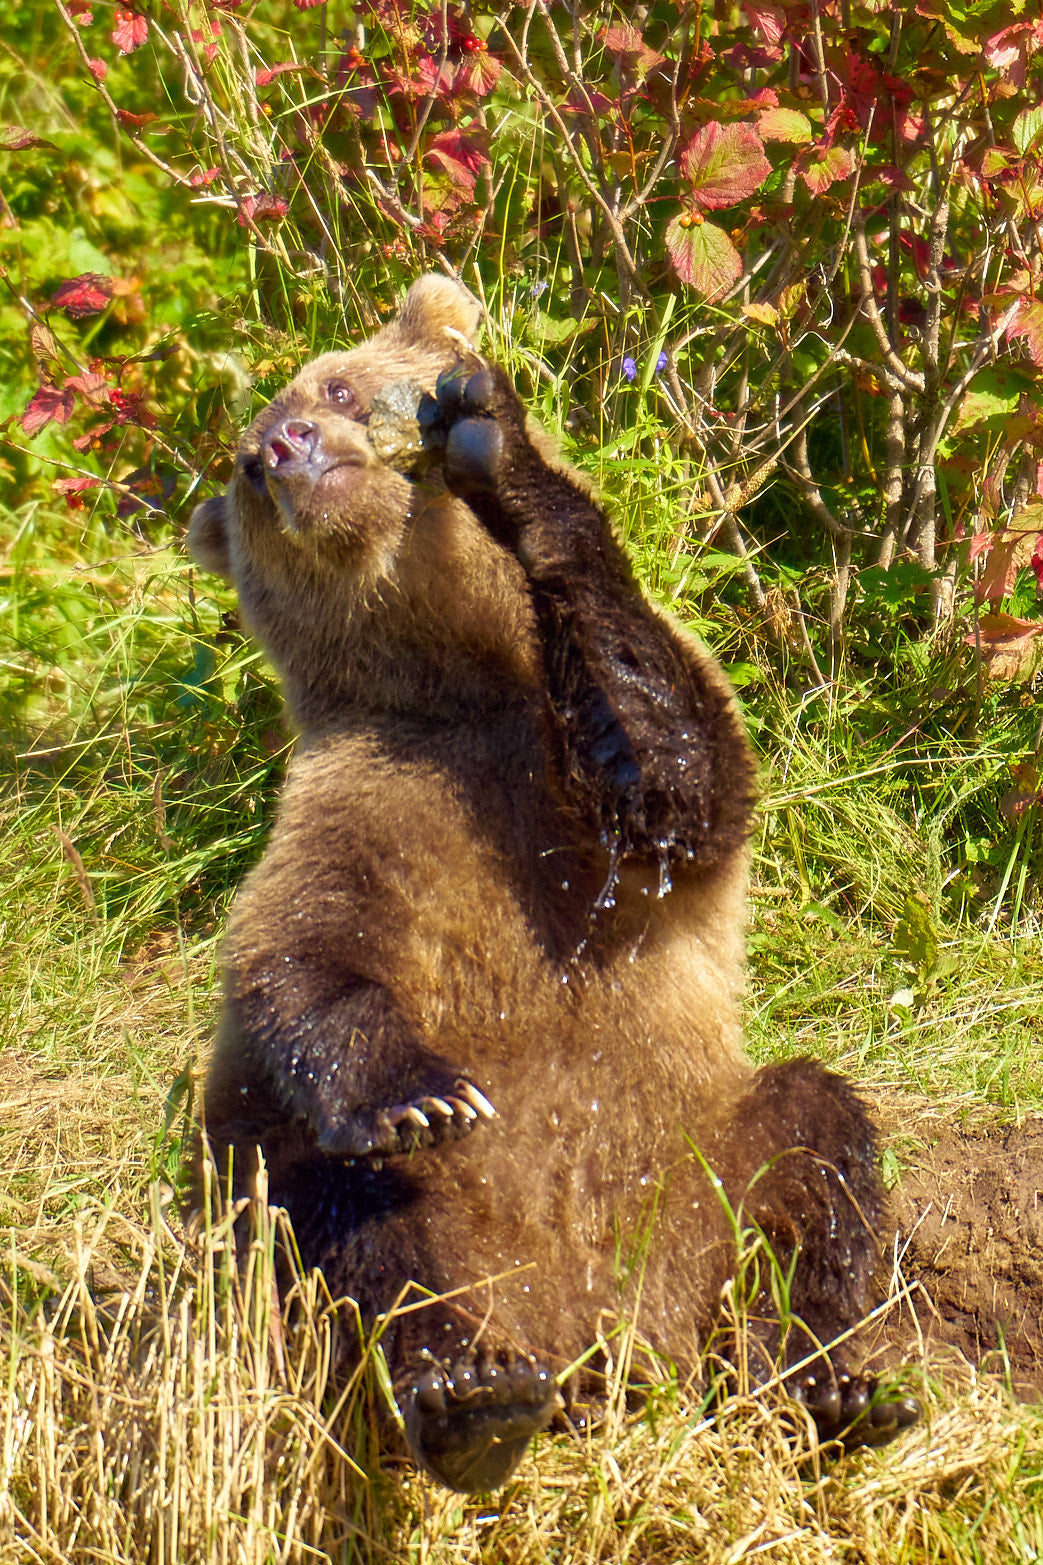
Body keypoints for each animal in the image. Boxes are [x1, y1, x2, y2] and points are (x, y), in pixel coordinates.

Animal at [187, 274, 918, 1492]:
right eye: (244, 464)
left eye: (334, 384)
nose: (286, 447)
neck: (455, 682)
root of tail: (608, 1336)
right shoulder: (359, 806)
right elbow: (302, 956)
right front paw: (420, 1094)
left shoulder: (566, 788)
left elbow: (675, 779)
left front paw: (492, 442)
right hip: (432, 1216)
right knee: (355, 1218)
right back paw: (473, 1393)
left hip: (699, 1164)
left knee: (814, 1151)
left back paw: (830, 1384)